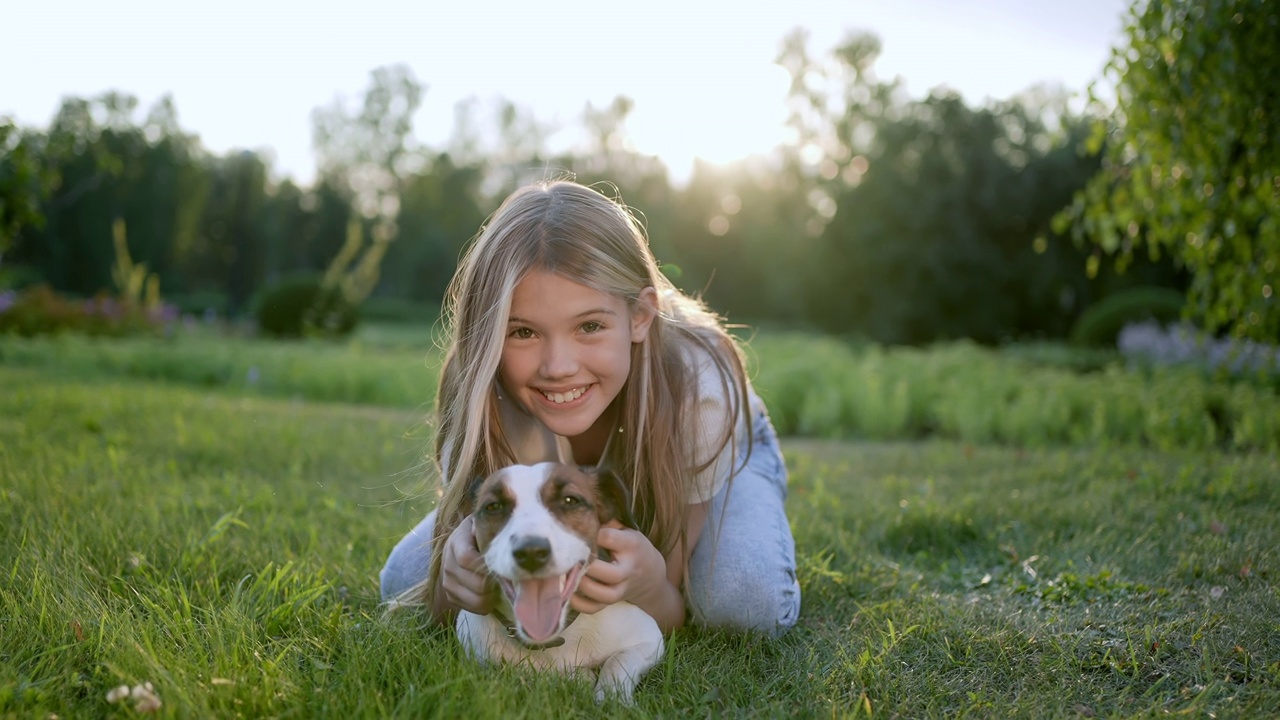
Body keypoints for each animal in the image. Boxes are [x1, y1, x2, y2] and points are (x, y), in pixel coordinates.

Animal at [458, 458, 665, 702]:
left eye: (569, 500)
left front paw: (611, 697)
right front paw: (580, 677)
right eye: (493, 506)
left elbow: (617, 662)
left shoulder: (650, 640)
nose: (531, 552)